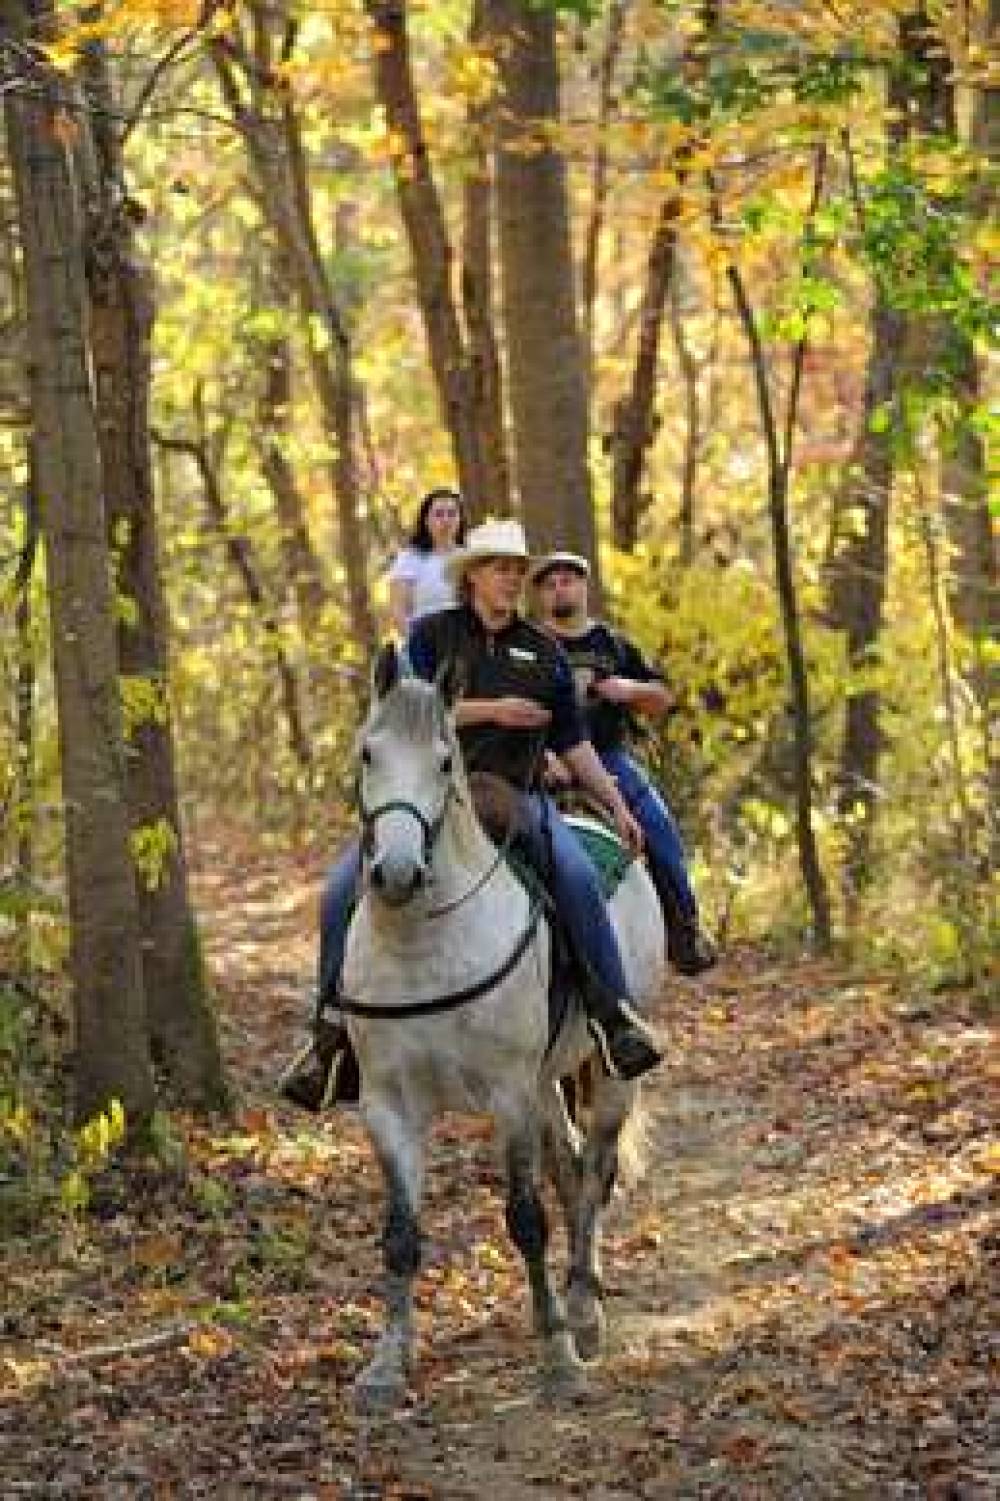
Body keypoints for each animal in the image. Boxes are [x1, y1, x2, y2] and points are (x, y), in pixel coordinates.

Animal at [340, 645, 660, 1404]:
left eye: (444, 762)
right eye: (368, 753)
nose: (396, 873)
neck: (422, 946)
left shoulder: (507, 1096)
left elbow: (526, 1220)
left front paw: (558, 1357)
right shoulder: (388, 1104)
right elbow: (400, 1234)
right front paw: (386, 1367)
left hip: (608, 1075)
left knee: (596, 1169)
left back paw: (583, 1309)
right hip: (546, 1082)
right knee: (570, 1170)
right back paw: (579, 1298)